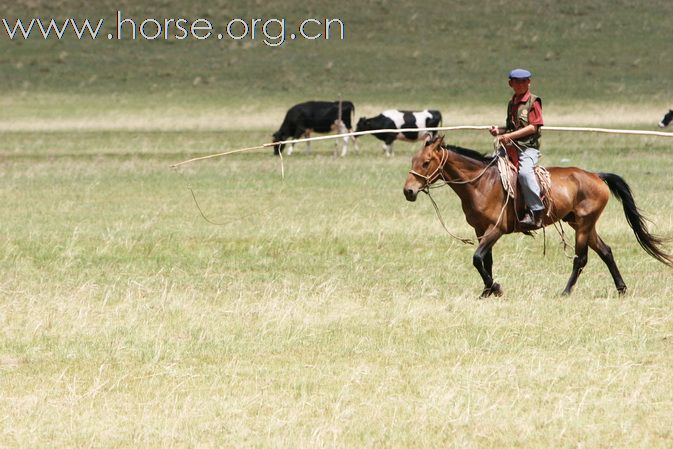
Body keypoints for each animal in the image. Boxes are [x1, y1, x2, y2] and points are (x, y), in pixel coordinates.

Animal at [402, 136, 668, 298]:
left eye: (426, 162)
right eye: (413, 160)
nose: (408, 191)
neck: (481, 183)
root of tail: (596, 175)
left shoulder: (496, 229)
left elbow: (477, 259)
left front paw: (495, 287)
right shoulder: (480, 230)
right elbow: (485, 261)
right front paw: (488, 291)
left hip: (584, 225)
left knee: (581, 259)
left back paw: (565, 292)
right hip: (582, 224)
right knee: (606, 251)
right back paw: (621, 288)